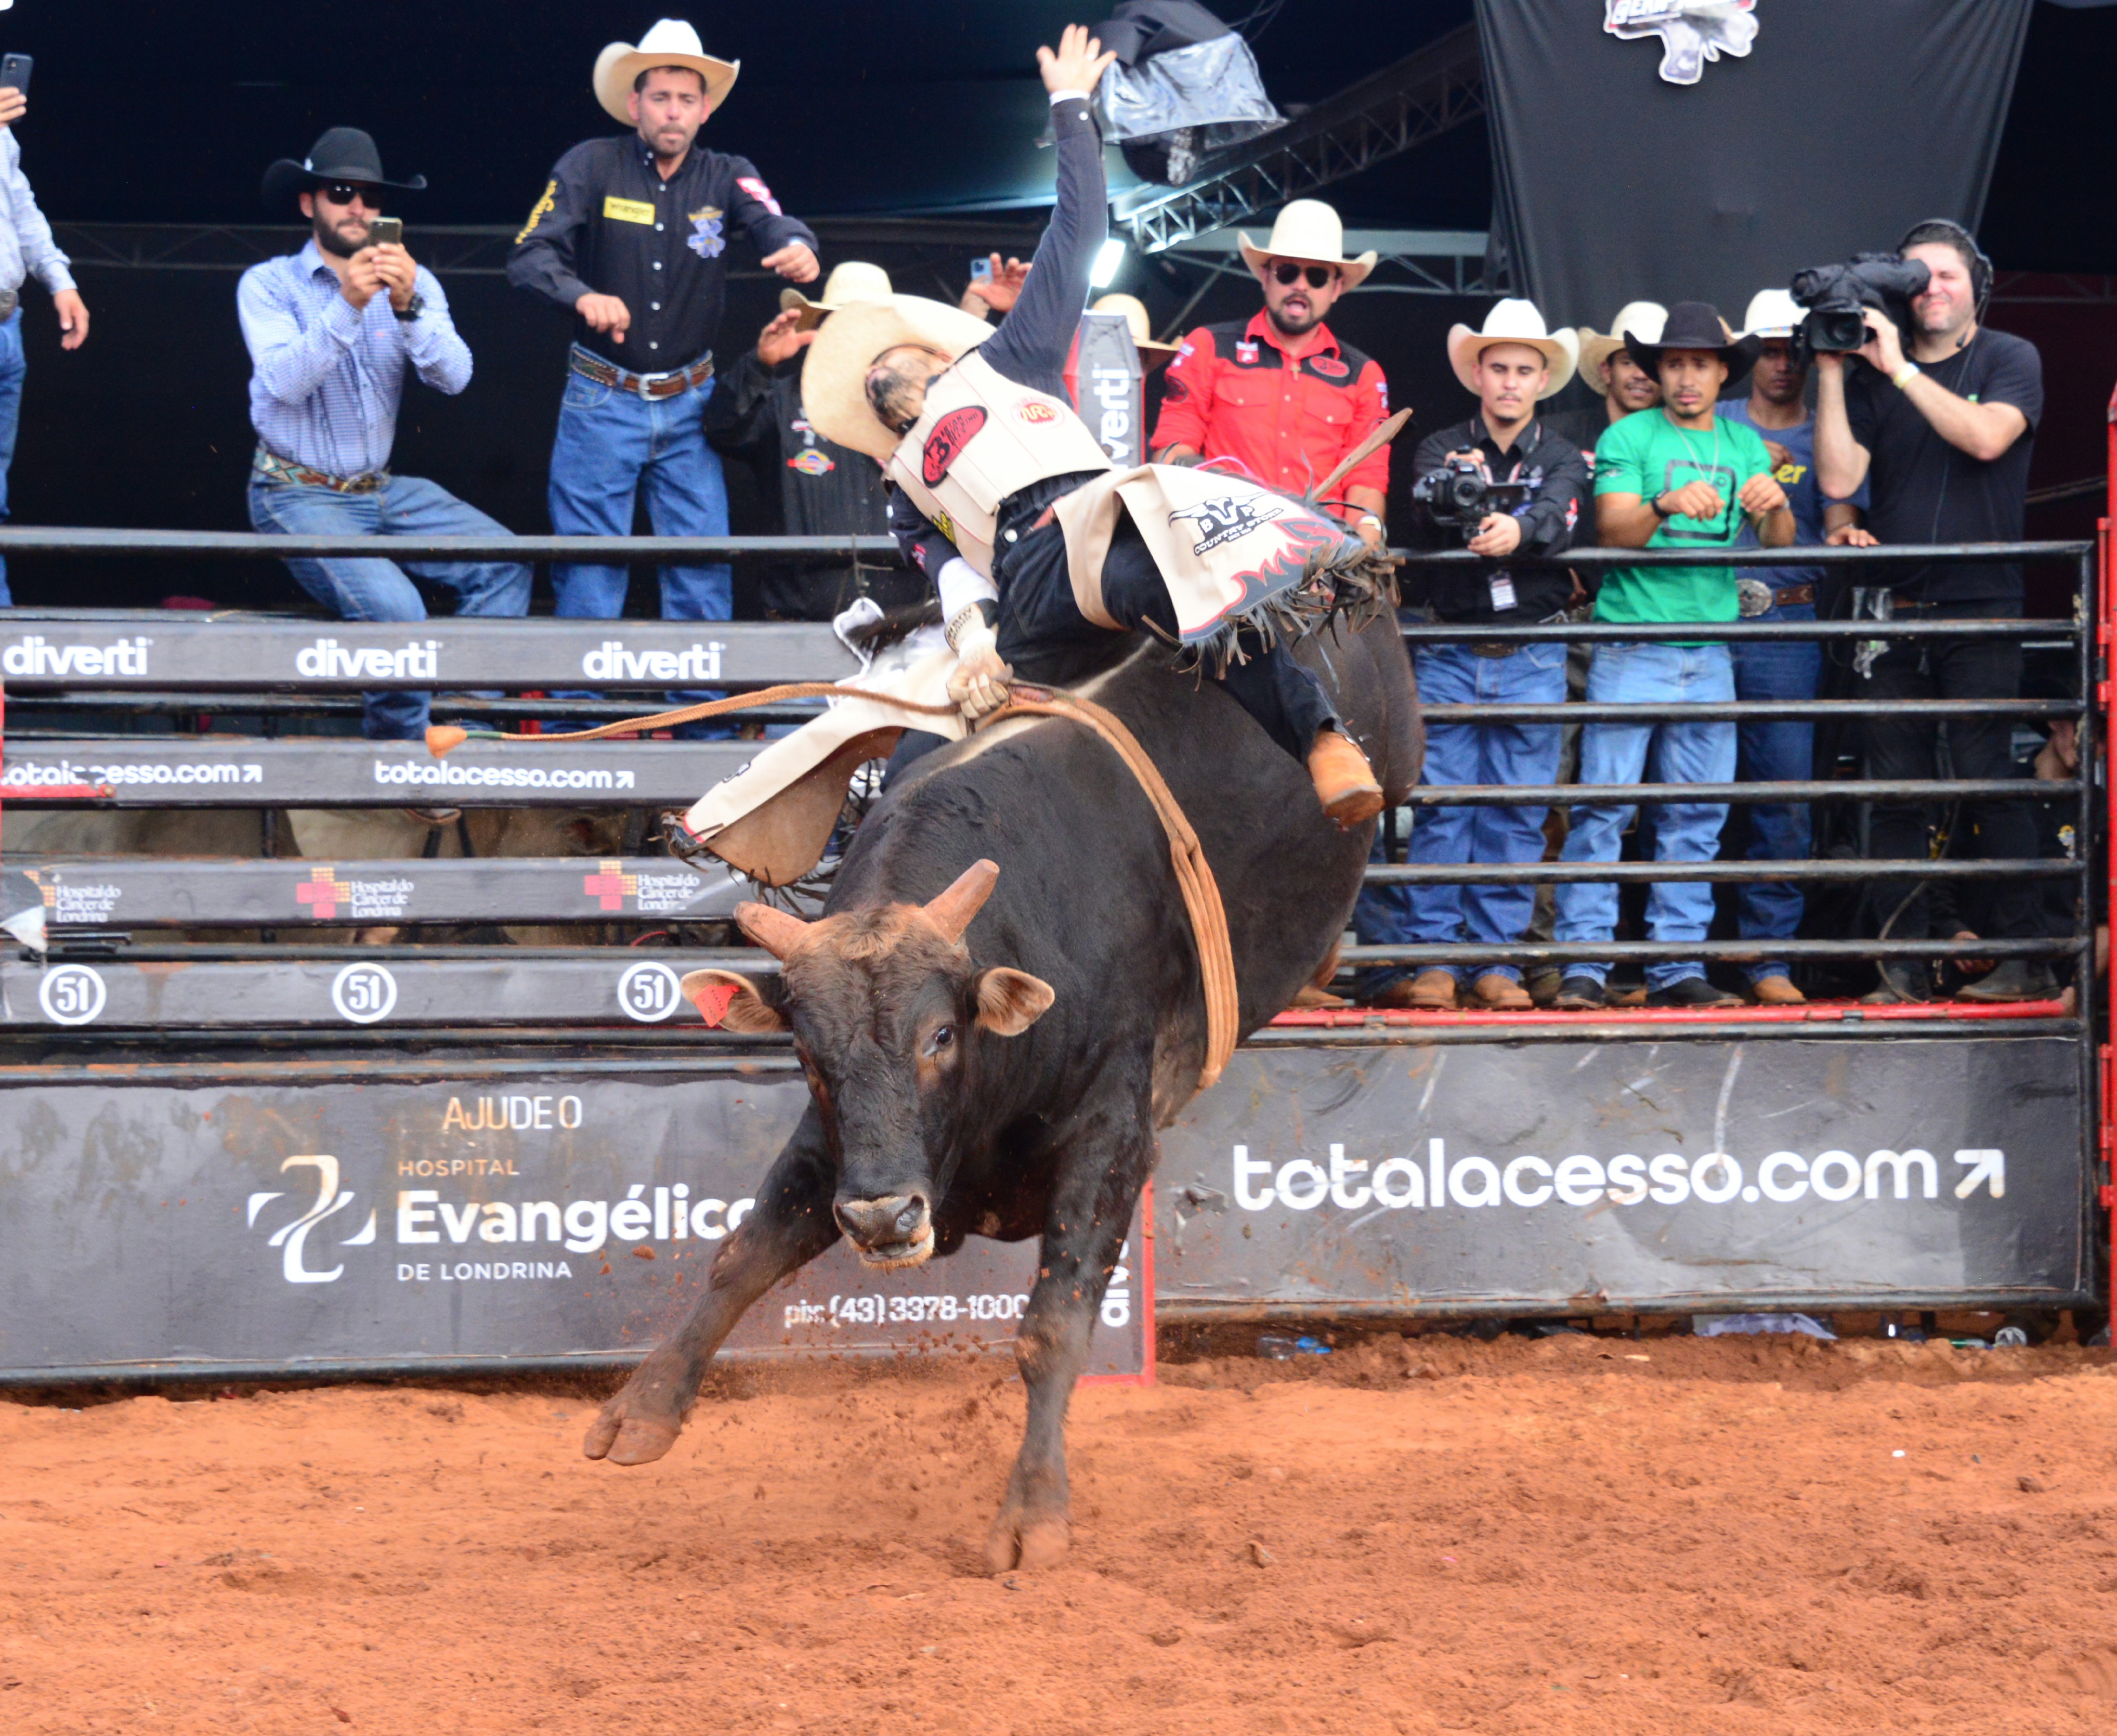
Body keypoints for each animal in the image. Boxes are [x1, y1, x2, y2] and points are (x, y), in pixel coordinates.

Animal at [584, 618, 1422, 1567]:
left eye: (940, 1037)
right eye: (806, 1050)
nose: (882, 1220)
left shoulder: (1112, 1139)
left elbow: (1052, 1325)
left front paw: (1034, 1509)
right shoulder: (839, 1150)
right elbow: (745, 1254)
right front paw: (643, 1408)